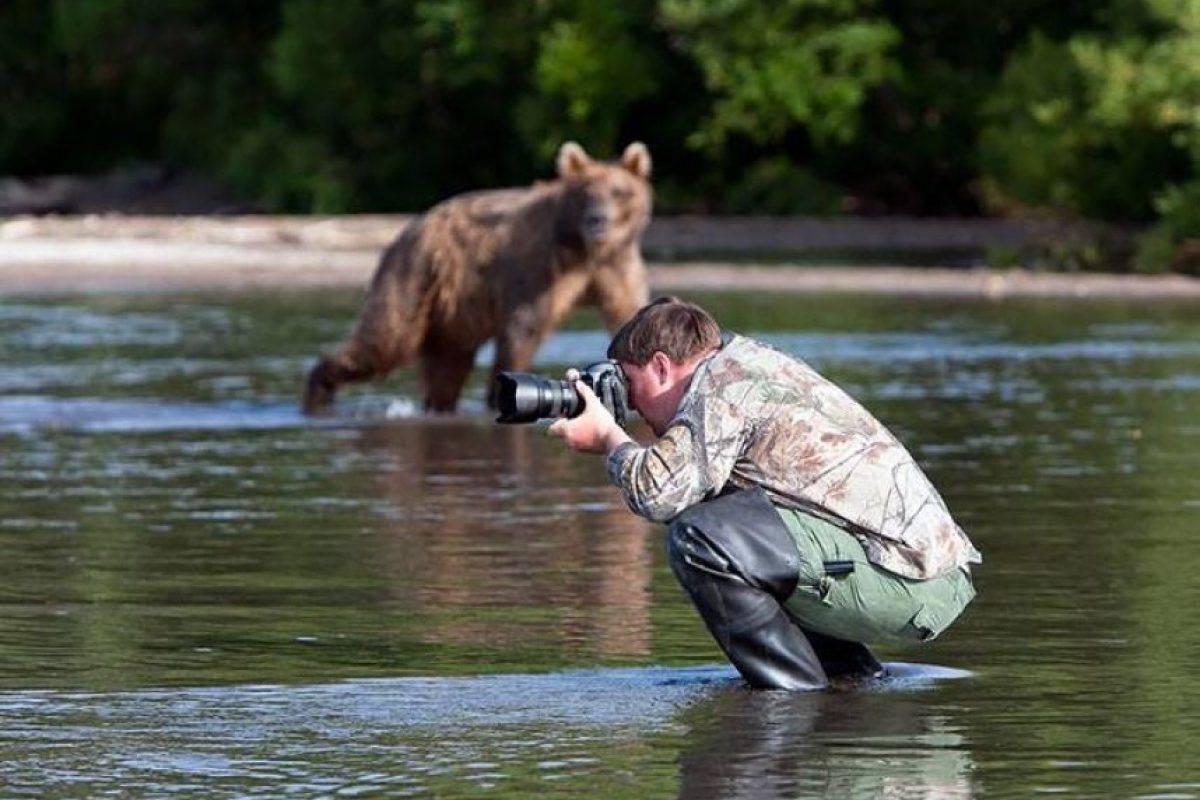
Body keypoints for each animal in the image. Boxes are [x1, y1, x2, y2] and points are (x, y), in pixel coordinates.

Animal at [304, 140, 652, 412]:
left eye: (619, 192)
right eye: (585, 192)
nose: (598, 221)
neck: (584, 250)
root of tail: (409, 228)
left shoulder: (616, 267)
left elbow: (628, 312)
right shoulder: (539, 267)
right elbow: (522, 329)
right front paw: (500, 394)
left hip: (453, 313)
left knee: (447, 367)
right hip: (414, 276)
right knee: (385, 343)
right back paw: (318, 391)